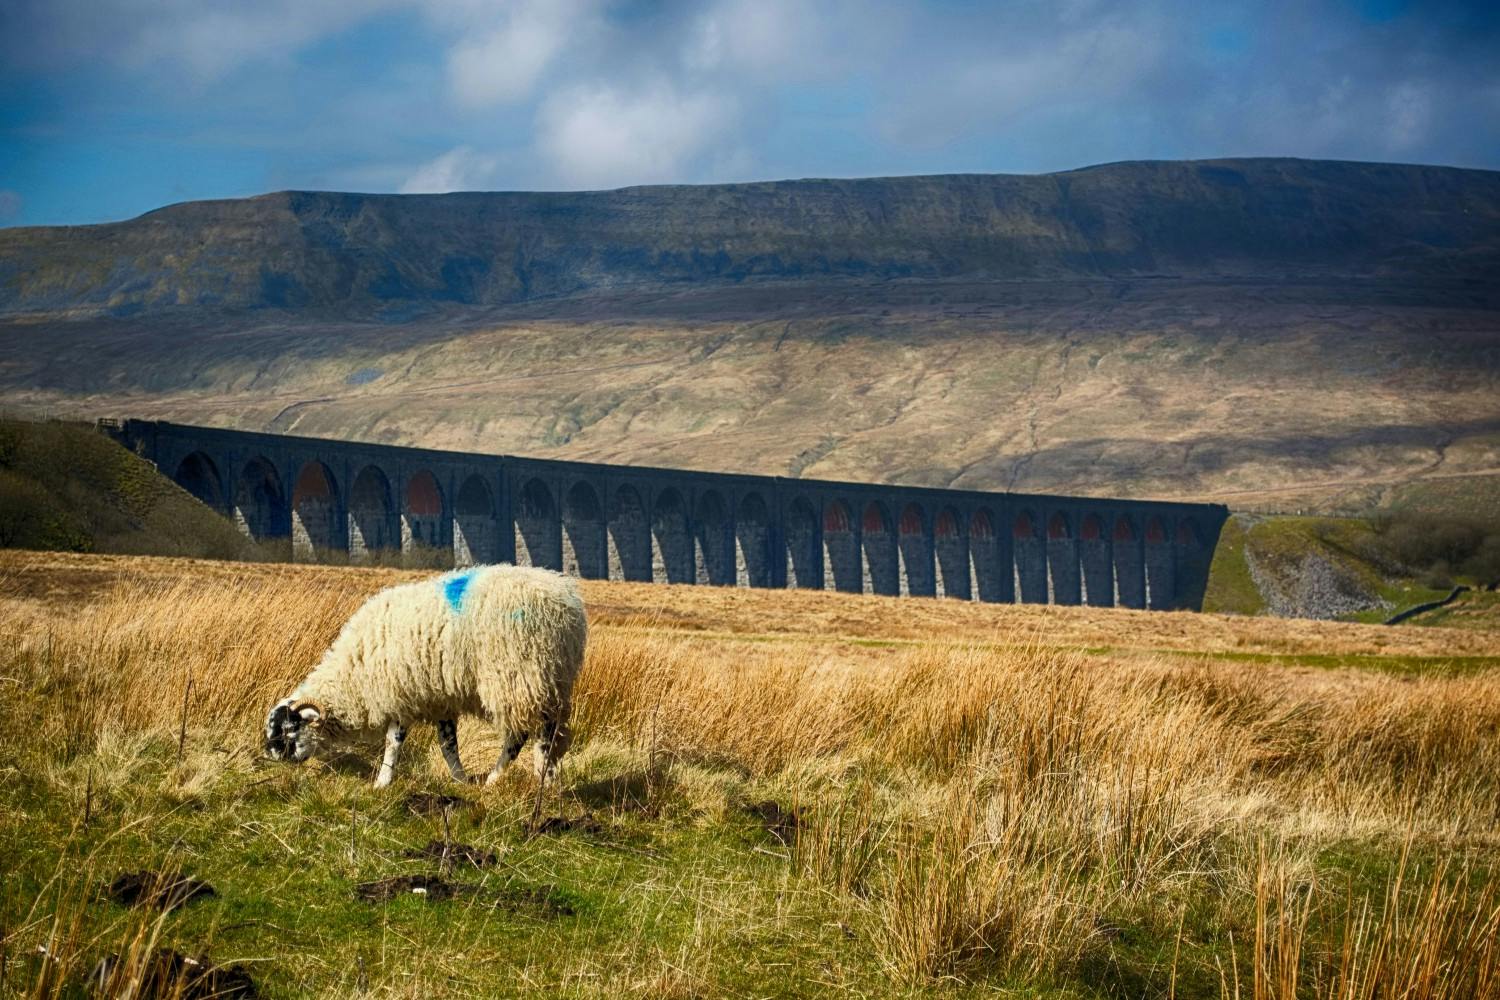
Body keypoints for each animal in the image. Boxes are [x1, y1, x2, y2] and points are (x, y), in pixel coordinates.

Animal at [261, 563, 588, 791]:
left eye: (289, 731)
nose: (272, 758)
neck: (354, 672)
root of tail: (567, 603)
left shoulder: (399, 694)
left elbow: (393, 743)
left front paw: (382, 782)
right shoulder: (440, 700)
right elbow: (448, 746)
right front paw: (460, 780)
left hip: (518, 676)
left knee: (525, 735)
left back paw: (510, 778)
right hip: (550, 679)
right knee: (550, 731)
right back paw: (544, 776)